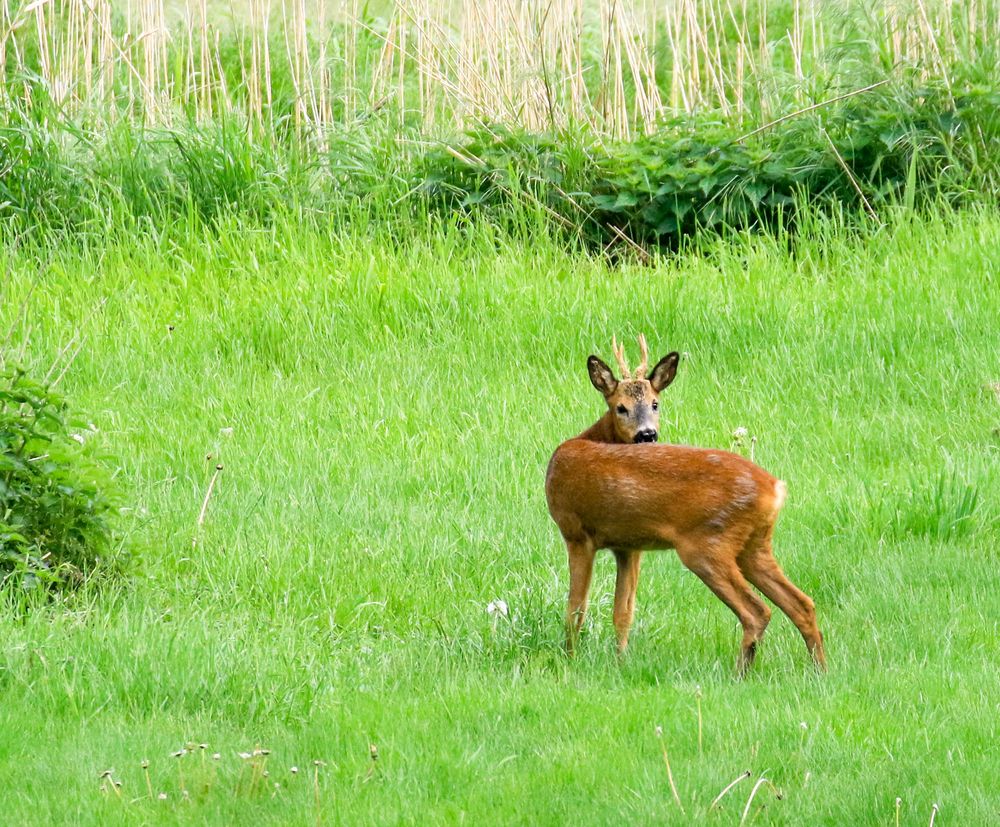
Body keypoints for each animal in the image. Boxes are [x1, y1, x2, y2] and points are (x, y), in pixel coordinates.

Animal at [544, 334, 824, 672]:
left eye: (655, 403)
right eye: (621, 407)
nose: (647, 434)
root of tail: (775, 489)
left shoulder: (576, 532)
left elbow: (575, 609)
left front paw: (569, 662)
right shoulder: (629, 545)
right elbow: (623, 611)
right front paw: (620, 662)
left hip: (707, 544)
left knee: (758, 610)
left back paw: (741, 672)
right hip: (754, 545)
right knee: (802, 604)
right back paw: (819, 671)